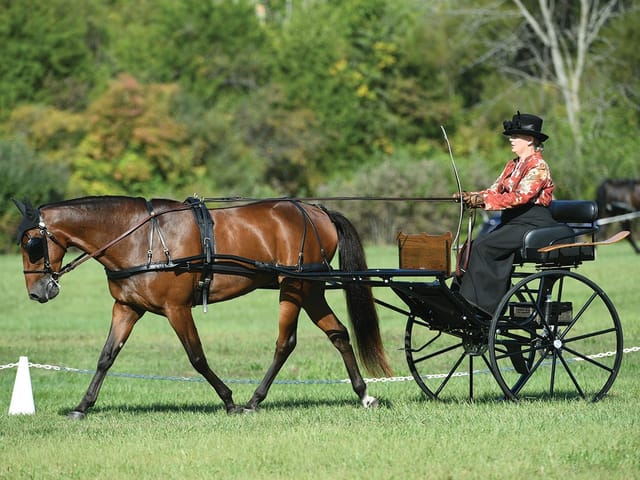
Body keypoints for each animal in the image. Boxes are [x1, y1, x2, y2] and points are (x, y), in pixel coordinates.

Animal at [13, 195, 392, 419]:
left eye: (32, 244)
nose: (37, 292)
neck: (139, 237)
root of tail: (316, 210)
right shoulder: (126, 307)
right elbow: (106, 357)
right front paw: (82, 407)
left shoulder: (177, 308)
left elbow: (196, 357)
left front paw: (229, 400)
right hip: (311, 290)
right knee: (337, 334)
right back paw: (363, 395)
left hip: (294, 286)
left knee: (285, 343)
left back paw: (254, 400)